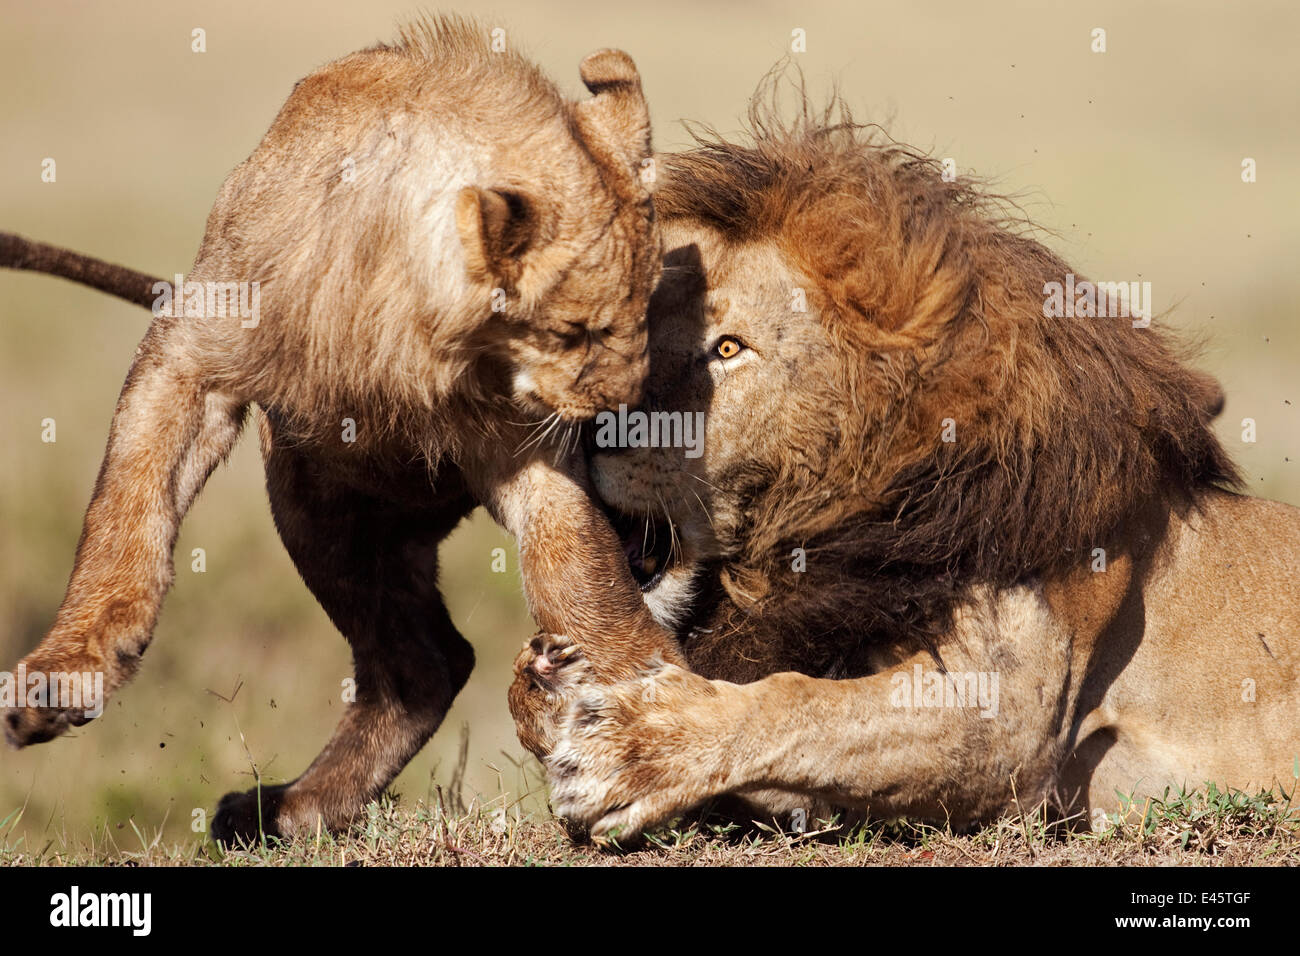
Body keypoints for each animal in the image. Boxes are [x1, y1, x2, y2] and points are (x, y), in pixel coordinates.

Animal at [0, 16, 670, 842]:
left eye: (649, 309)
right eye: (578, 331)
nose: (627, 415)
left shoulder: (526, 444)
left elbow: (583, 581)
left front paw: (648, 716)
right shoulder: (190, 353)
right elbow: (122, 511)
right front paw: (63, 677)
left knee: (432, 659)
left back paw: (292, 808)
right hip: (315, 502)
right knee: (425, 661)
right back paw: (287, 809)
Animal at [512, 87, 1300, 837]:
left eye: (728, 348)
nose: (589, 422)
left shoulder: (1009, 718)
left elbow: (798, 707)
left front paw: (638, 746)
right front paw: (546, 683)